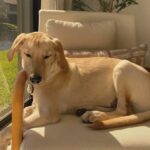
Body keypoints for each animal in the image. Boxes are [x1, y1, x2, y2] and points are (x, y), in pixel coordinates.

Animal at [0, 31, 150, 148]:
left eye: (47, 56)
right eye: (28, 54)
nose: (34, 79)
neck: (52, 74)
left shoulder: (47, 114)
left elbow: (11, 128)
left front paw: (4, 141)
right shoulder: (36, 107)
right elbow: (24, 111)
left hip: (122, 67)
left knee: (123, 110)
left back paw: (95, 115)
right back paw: (85, 110)